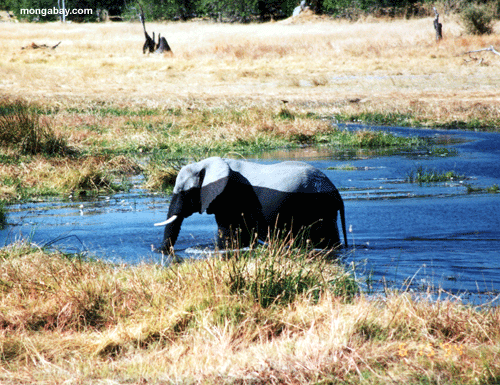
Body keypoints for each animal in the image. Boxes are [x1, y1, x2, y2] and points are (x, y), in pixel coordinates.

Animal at [155, 156, 348, 252]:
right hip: (323, 208)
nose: (162, 252)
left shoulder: (230, 195)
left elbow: (228, 232)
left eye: (184, 192)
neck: (206, 163)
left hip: (315, 205)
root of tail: (336, 192)